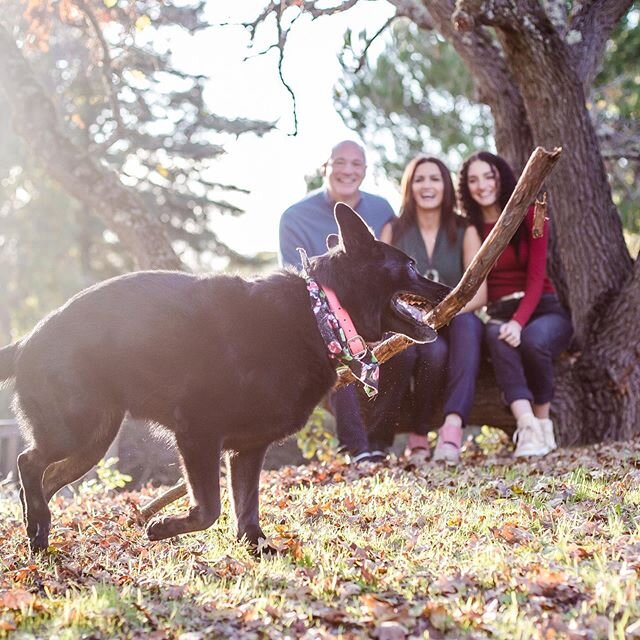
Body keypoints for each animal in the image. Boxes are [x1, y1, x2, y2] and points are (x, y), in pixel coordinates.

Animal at [0, 204, 450, 552]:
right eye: (411, 266)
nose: (448, 289)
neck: (321, 311)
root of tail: (26, 341)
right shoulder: (198, 436)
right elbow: (211, 509)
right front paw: (162, 528)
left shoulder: (247, 451)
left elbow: (246, 508)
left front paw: (257, 548)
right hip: (75, 430)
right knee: (27, 462)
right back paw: (37, 527)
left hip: (92, 440)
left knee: (44, 478)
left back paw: (37, 526)